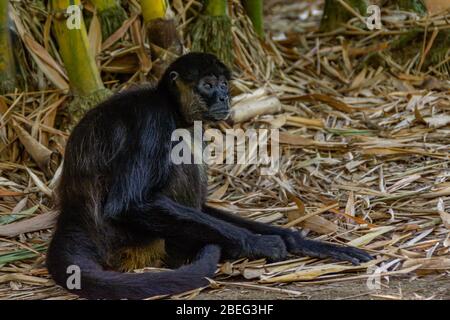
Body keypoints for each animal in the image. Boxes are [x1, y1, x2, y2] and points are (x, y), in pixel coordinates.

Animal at [47, 52, 372, 300]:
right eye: (208, 84)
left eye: (224, 84)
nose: (223, 97)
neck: (170, 107)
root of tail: (72, 213)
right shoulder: (153, 121)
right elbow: (128, 205)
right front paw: (259, 244)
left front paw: (299, 241)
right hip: (132, 239)